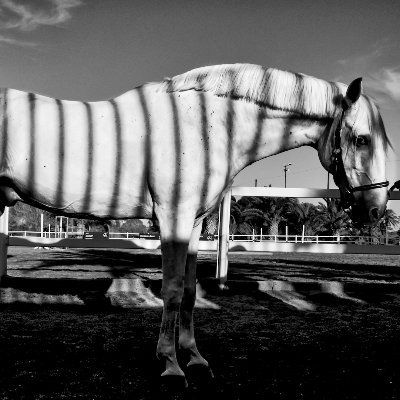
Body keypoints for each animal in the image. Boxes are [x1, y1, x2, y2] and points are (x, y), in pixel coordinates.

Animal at [0, 65, 390, 384]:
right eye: (362, 139)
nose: (375, 211)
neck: (203, 124)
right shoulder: (174, 217)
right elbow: (172, 290)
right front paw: (170, 365)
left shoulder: (193, 223)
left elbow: (189, 292)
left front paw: (194, 358)